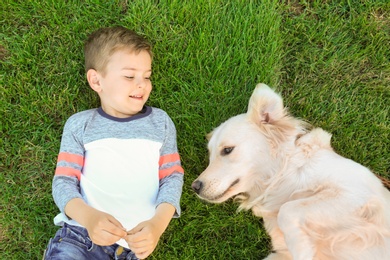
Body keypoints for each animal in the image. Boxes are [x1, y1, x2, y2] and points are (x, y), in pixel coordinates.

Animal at [192, 84, 390, 260]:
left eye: (227, 150)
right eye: (210, 155)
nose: (195, 187)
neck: (283, 176)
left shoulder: (356, 194)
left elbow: (287, 210)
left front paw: (303, 250)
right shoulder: (282, 253)